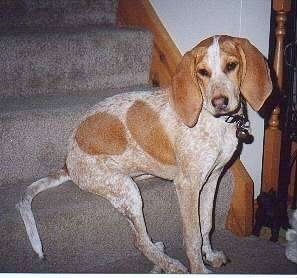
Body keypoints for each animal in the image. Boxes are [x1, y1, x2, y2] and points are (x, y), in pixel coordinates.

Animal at [16, 35, 270, 274]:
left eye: (231, 65)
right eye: (202, 72)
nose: (220, 103)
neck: (216, 122)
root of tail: (68, 162)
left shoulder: (212, 178)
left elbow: (206, 224)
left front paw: (209, 255)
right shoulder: (188, 185)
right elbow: (192, 235)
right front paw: (199, 269)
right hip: (127, 191)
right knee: (139, 241)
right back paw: (170, 264)